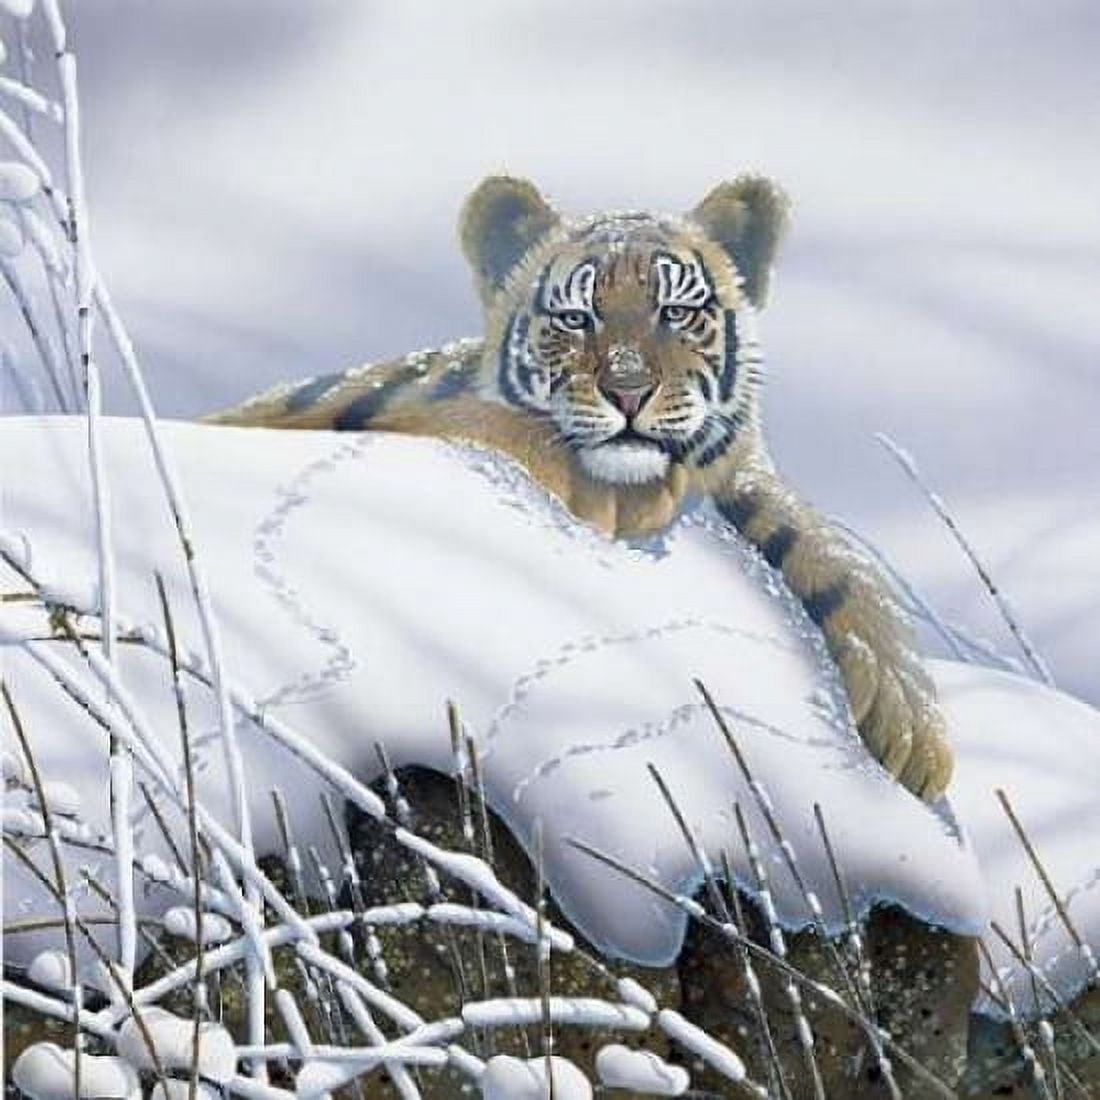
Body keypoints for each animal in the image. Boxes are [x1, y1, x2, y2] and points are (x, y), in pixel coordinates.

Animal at [205, 174, 953, 802]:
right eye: (574, 317)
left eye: (675, 312)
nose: (627, 391)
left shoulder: (740, 471)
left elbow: (831, 559)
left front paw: (914, 735)